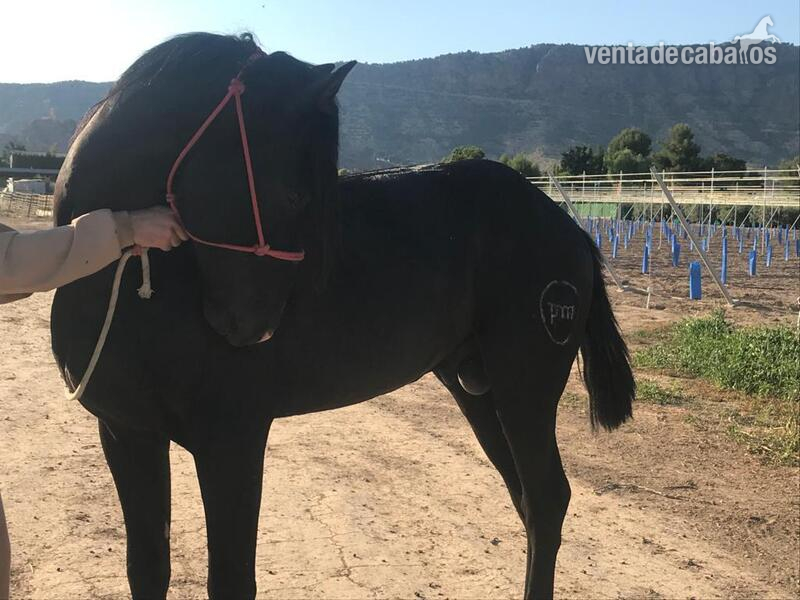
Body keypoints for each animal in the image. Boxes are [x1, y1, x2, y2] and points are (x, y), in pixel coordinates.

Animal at [50, 32, 635, 600]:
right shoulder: (127, 435)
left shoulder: (232, 439)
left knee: (546, 500)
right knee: (530, 502)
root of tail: (567, 227)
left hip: (522, 393)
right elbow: (148, 570)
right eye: (293, 193)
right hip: (479, 392)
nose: (253, 330)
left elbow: (232, 579)